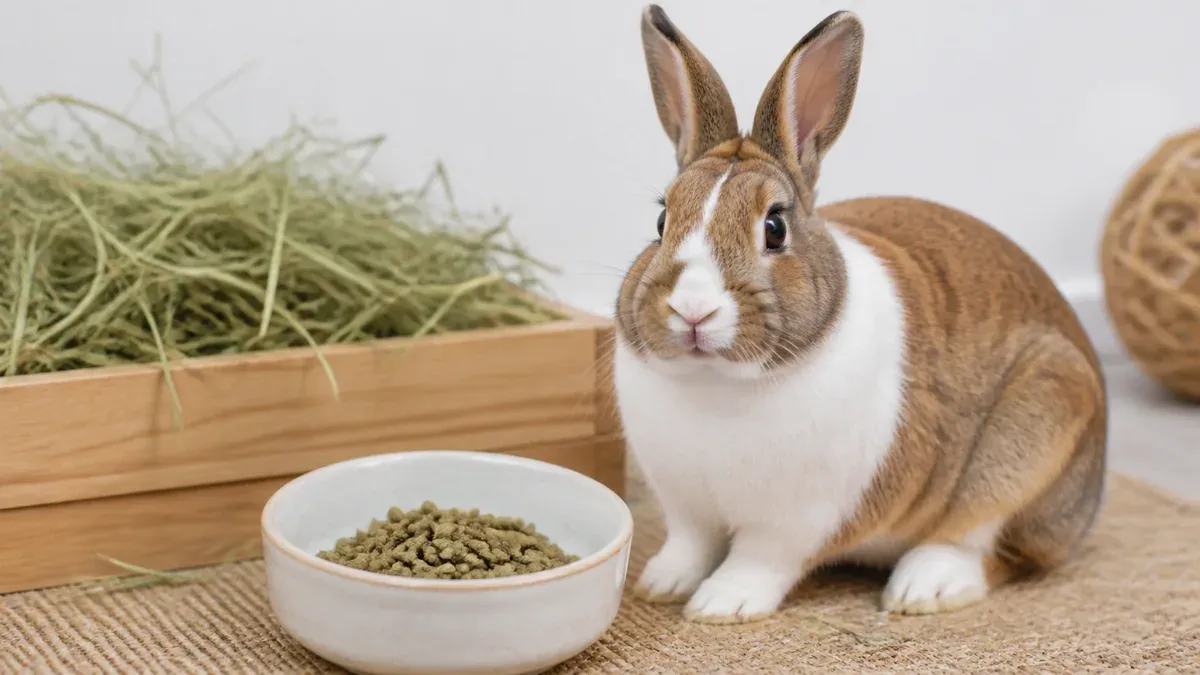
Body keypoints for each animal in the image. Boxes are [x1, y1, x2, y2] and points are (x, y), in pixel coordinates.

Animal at [612, 5, 1107, 624]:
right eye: (661, 221)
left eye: (774, 227)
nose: (692, 310)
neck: (716, 382)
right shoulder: (687, 507)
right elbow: (690, 544)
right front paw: (662, 584)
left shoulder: (797, 520)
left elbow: (759, 560)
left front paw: (722, 604)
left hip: (1036, 431)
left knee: (990, 547)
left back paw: (923, 588)